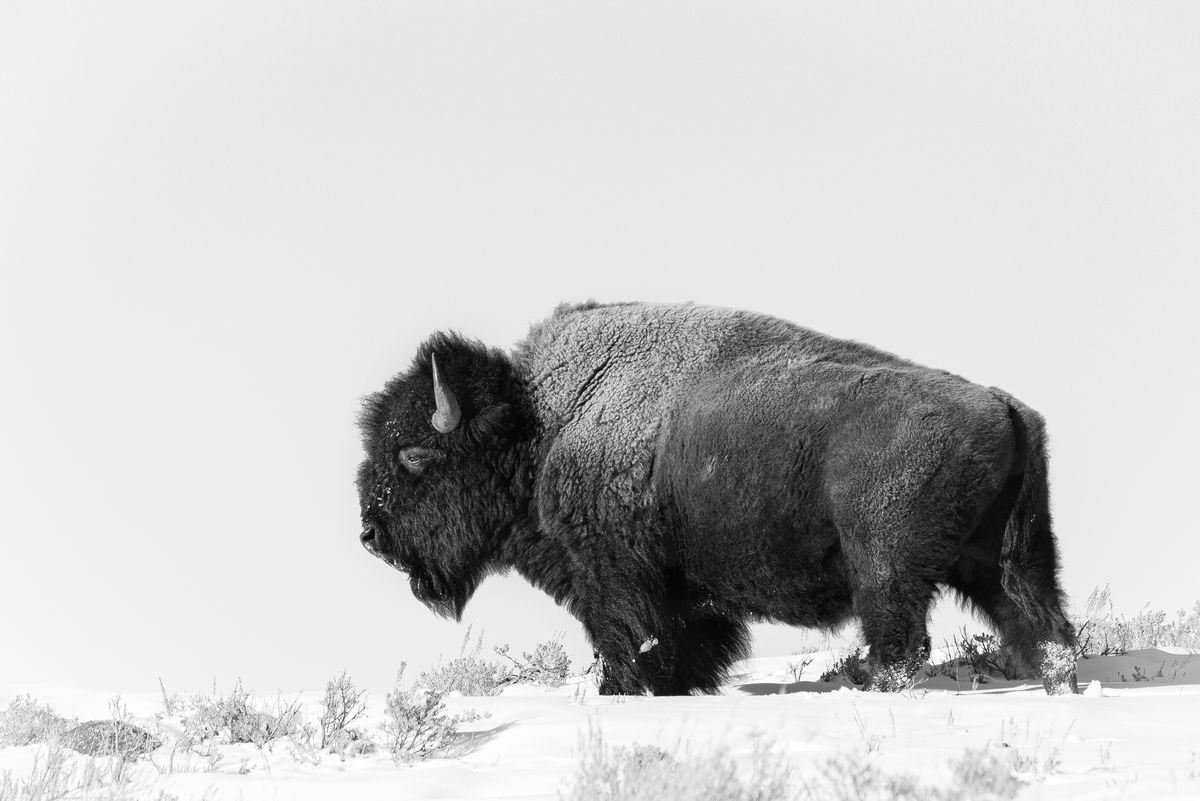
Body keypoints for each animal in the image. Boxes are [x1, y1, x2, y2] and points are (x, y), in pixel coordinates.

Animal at [352, 299, 1080, 695]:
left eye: (412, 455)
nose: (370, 535)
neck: (543, 423)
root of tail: (1003, 405)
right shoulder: (683, 593)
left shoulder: (613, 576)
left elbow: (628, 640)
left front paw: (621, 691)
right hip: (1010, 558)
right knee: (1041, 624)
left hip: (887, 564)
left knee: (899, 639)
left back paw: (870, 681)